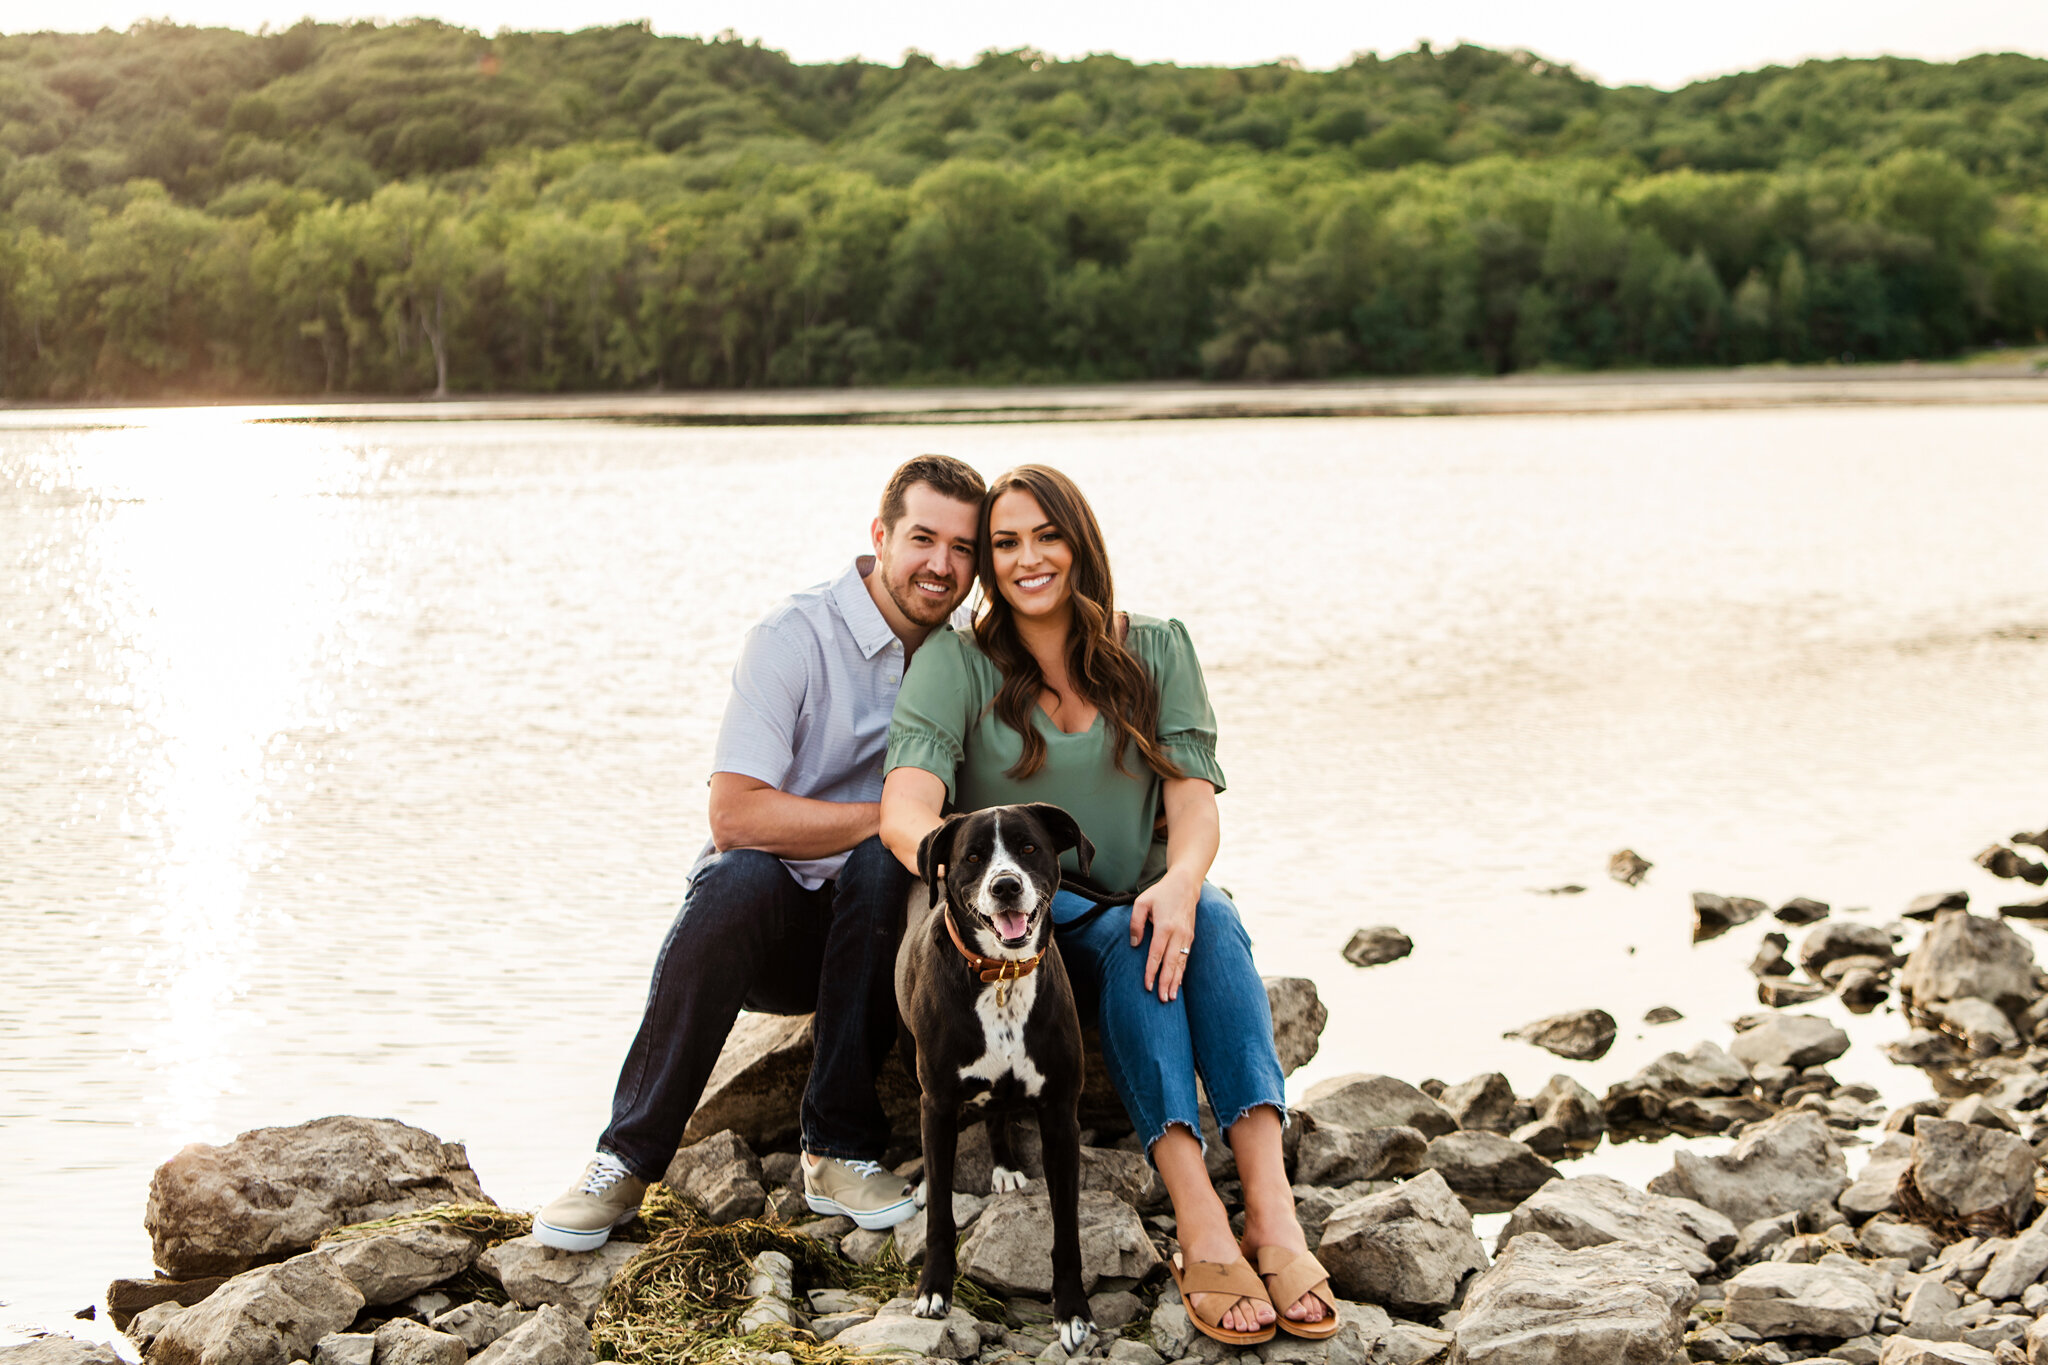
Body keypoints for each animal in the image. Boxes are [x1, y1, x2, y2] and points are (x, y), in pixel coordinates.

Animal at [888, 806, 1097, 1350]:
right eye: (973, 857)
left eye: (1028, 848)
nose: (1005, 886)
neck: (1001, 976)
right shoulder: (938, 1102)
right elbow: (941, 1216)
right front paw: (934, 1288)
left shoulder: (1060, 1115)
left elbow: (1067, 1229)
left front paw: (1072, 1310)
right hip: (908, 1057)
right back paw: (926, 1180)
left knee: (998, 1110)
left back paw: (1003, 1164)